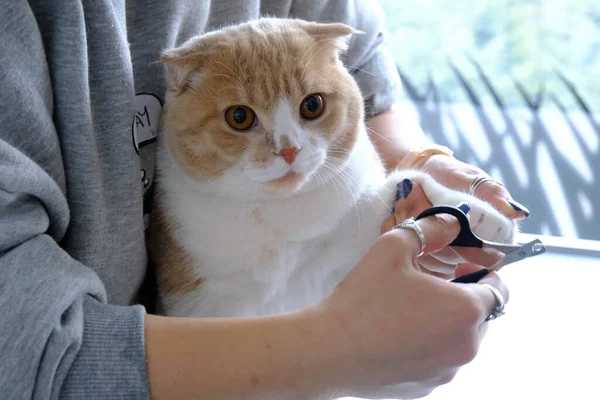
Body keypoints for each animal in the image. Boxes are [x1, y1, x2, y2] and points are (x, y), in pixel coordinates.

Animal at [149, 18, 516, 318]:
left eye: (312, 105)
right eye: (239, 117)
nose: (289, 149)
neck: (281, 217)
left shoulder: (344, 246)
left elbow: (409, 180)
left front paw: (481, 216)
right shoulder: (205, 305)